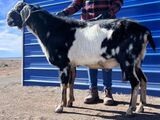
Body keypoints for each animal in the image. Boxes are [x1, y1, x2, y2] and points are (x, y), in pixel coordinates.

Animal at [6, 1, 156, 116]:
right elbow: (71, 82)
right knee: (143, 79)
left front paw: (60, 107)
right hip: (137, 61)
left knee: (135, 82)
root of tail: (145, 30)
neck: (52, 29)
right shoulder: (71, 64)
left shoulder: (63, 63)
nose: (7, 19)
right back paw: (140, 107)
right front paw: (69, 102)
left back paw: (130, 110)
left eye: (18, 8)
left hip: (127, 60)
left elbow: (63, 84)